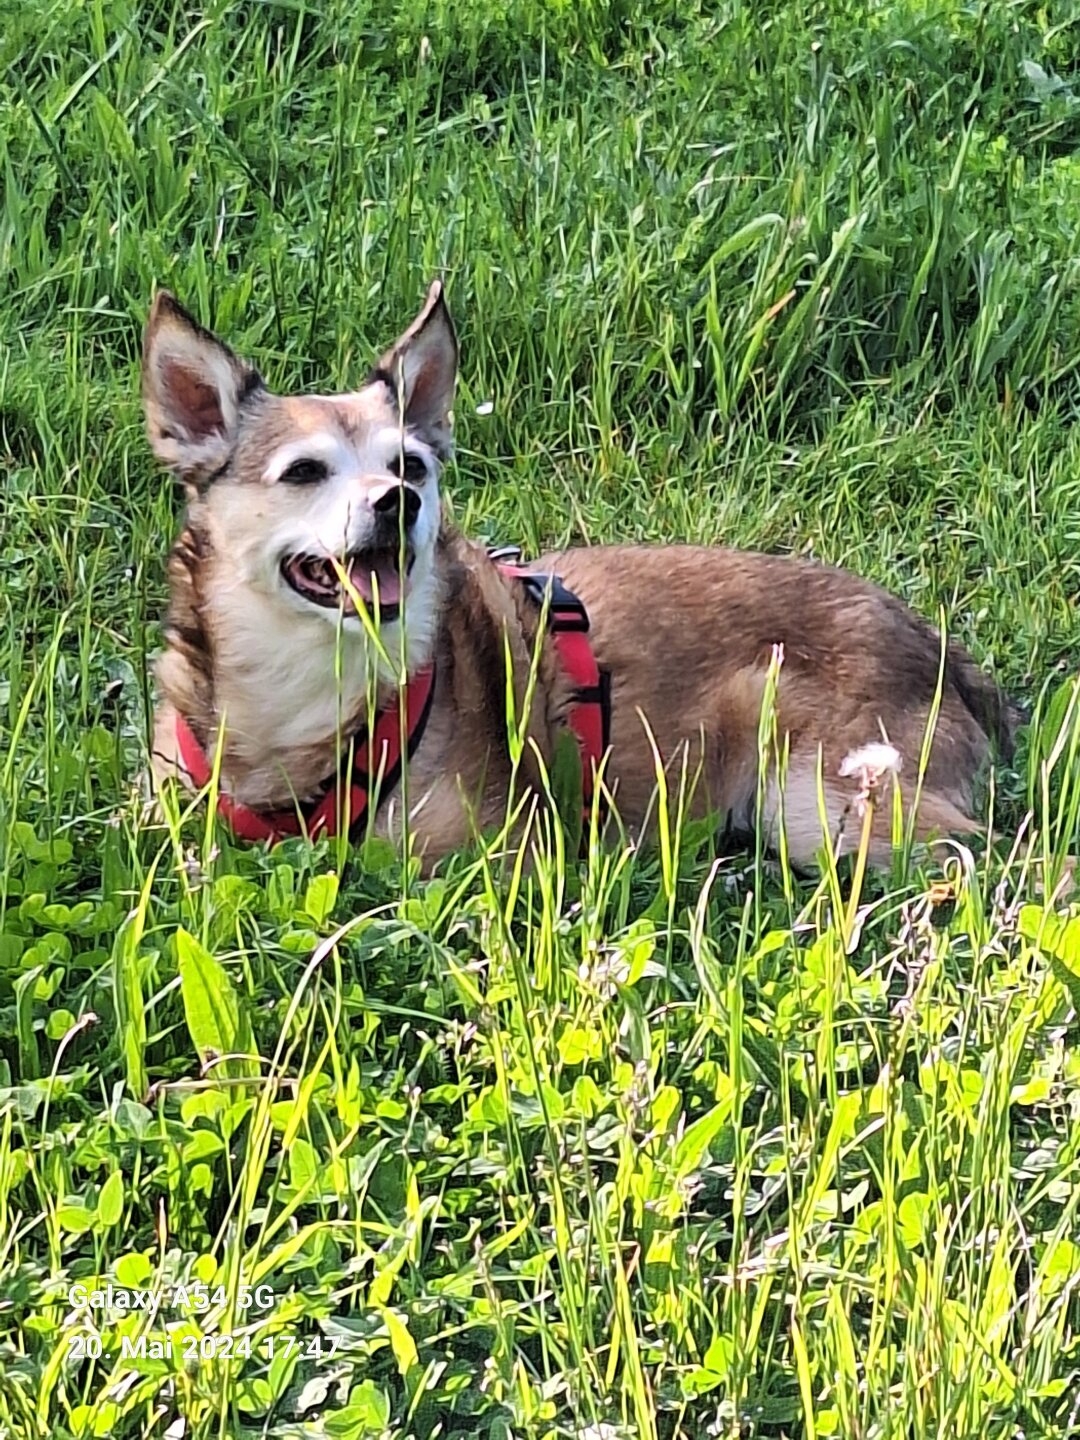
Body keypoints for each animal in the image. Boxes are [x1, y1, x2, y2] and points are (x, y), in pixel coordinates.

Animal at [141, 277, 1013, 864]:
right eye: (303, 472)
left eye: (411, 466)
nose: (399, 502)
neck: (315, 689)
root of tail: (940, 649)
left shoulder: (504, 857)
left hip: (822, 799)